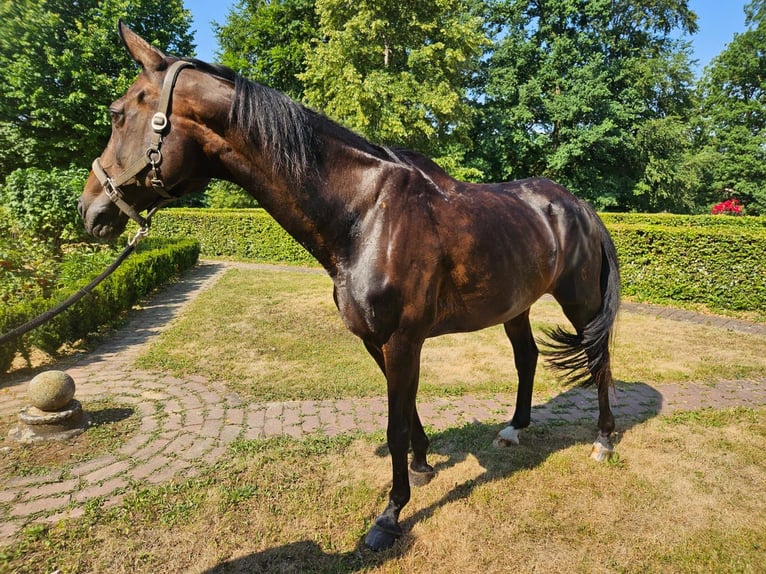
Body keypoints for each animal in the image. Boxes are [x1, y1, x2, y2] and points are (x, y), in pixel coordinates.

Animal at [78, 21, 620, 551]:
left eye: (118, 114)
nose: (91, 210)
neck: (366, 214)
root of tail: (580, 207)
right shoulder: (376, 340)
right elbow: (406, 408)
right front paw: (422, 464)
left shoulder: (402, 340)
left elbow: (395, 421)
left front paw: (390, 515)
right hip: (516, 306)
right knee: (527, 357)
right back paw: (514, 429)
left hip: (579, 303)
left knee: (599, 359)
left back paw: (604, 439)